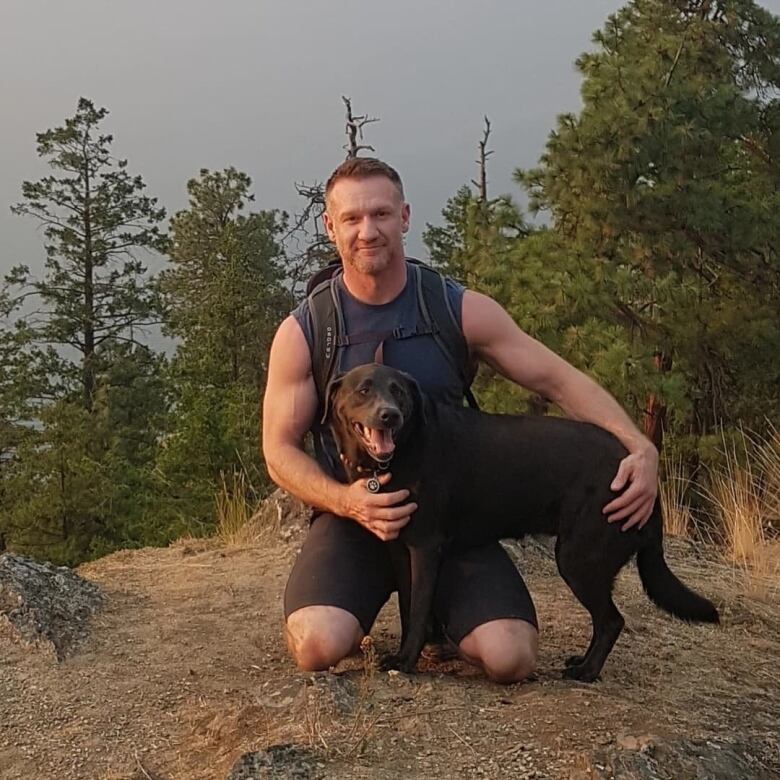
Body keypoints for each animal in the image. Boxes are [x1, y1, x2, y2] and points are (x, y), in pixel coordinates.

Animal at [326, 362, 724, 680]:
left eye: (399, 392)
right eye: (364, 389)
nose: (389, 415)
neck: (400, 453)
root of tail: (643, 478)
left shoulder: (426, 548)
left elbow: (420, 607)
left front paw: (405, 661)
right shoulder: (399, 547)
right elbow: (410, 607)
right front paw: (409, 652)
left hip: (577, 558)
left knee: (612, 621)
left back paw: (586, 672)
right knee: (606, 621)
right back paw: (581, 661)